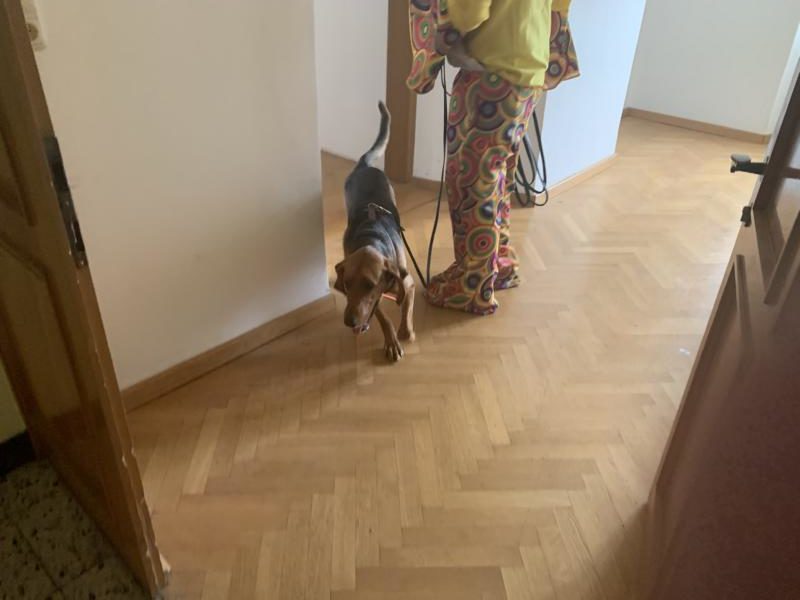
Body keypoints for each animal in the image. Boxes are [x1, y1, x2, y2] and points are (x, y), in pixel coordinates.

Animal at [333, 102, 415, 362]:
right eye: (347, 283)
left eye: (369, 285)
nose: (349, 322)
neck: (372, 239)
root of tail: (364, 165)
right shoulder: (373, 304)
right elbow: (383, 317)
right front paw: (391, 341)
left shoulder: (407, 282)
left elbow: (405, 306)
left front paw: (406, 330)